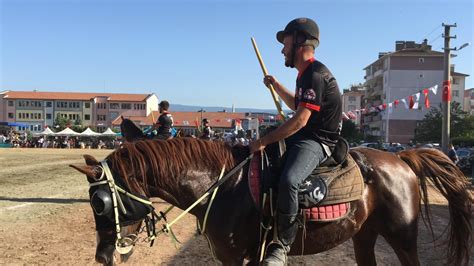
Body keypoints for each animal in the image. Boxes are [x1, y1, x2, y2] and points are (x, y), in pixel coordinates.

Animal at [71, 138, 474, 264]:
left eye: (100, 203)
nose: (103, 256)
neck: (221, 185)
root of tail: (401, 157)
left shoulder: (234, 257)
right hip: (364, 235)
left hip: (402, 237)